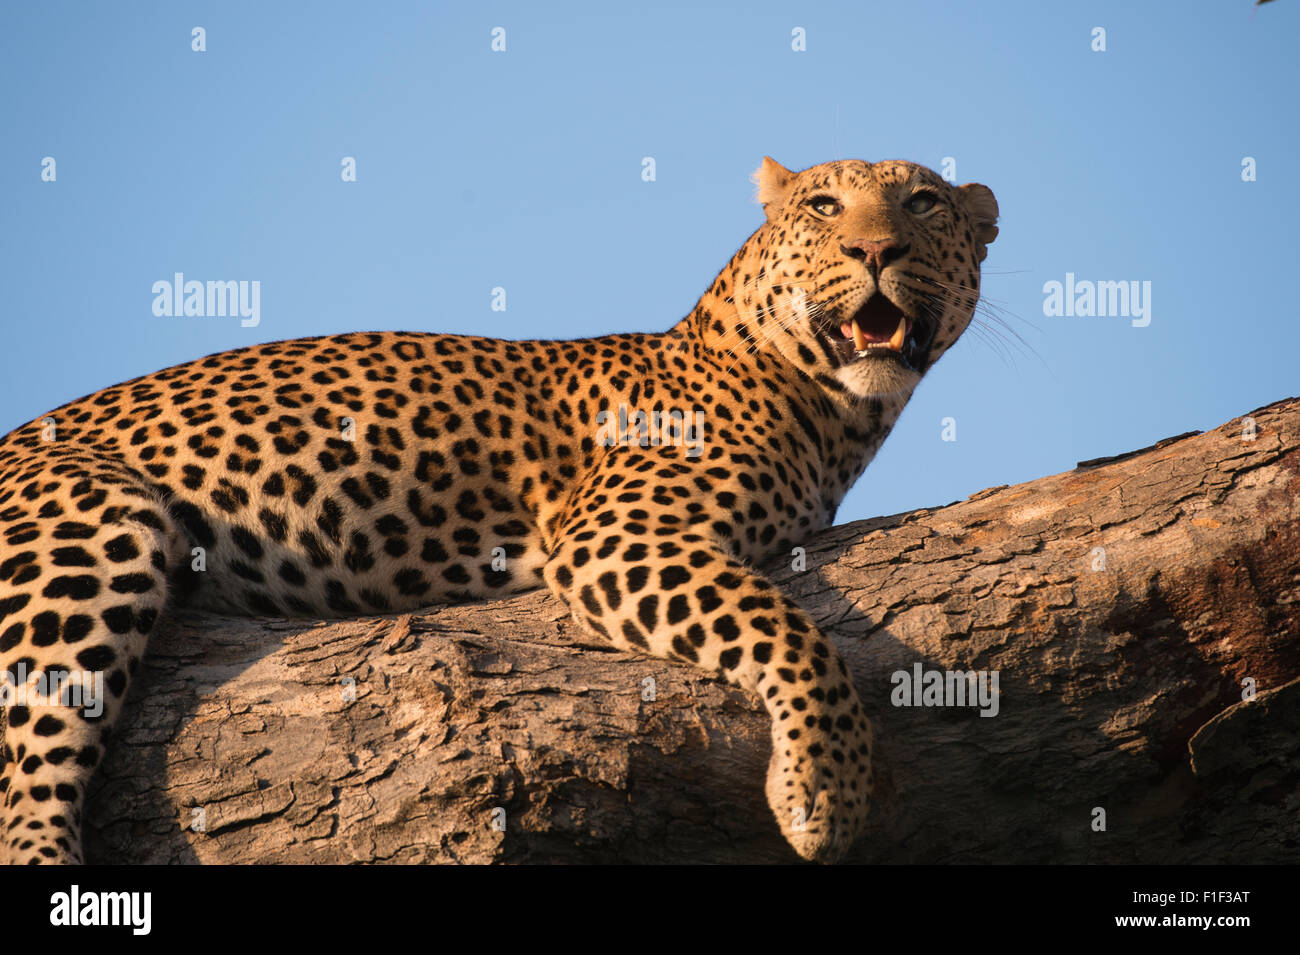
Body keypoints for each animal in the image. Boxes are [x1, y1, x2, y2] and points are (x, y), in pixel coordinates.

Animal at [0, 157, 998, 864]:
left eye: (924, 204)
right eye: (825, 205)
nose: (877, 252)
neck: (833, 415)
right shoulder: (617, 533)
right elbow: (790, 631)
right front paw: (822, 790)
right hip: (87, 531)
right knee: (25, 788)